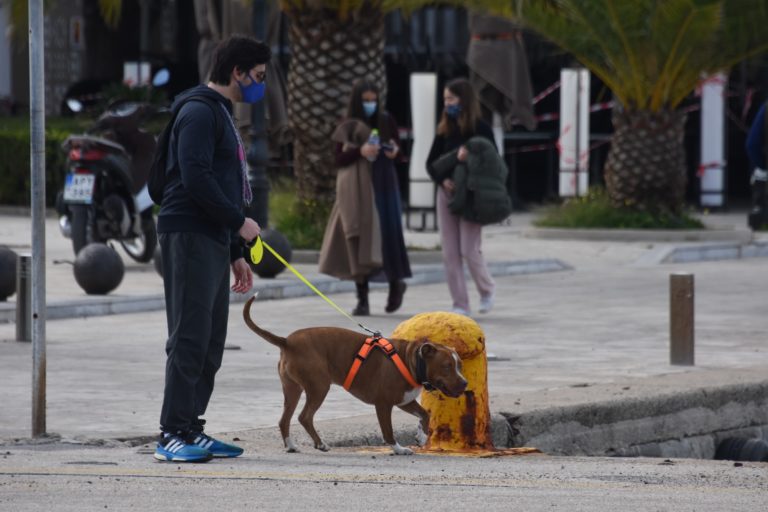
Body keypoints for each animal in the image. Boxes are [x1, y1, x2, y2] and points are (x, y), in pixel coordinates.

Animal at [243, 296, 464, 456]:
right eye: (447, 366)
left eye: (459, 365)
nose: (464, 383)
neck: (412, 360)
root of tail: (287, 341)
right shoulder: (383, 404)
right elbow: (388, 431)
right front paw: (398, 448)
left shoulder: (404, 400)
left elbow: (425, 414)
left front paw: (421, 435)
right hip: (319, 387)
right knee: (304, 416)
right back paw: (320, 444)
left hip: (292, 389)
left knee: (284, 419)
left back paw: (291, 445)